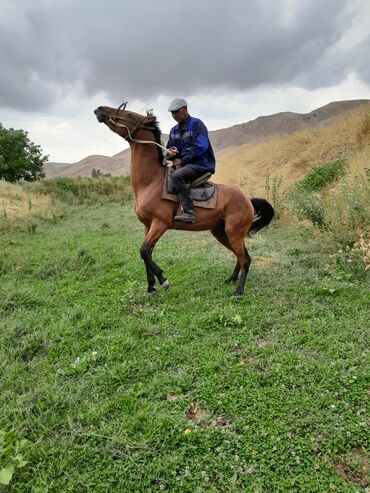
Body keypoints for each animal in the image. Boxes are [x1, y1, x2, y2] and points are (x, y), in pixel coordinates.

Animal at [94, 103, 274, 294]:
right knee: (241, 256)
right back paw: (231, 279)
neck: (151, 182)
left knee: (244, 259)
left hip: (234, 233)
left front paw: (163, 280)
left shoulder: (160, 223)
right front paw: (150, 287)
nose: (100, 109)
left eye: (128, 114)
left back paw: (238, 290)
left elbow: (143, 250)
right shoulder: (147, 225)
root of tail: (248, 200)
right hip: (222, 232)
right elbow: (146, 253)